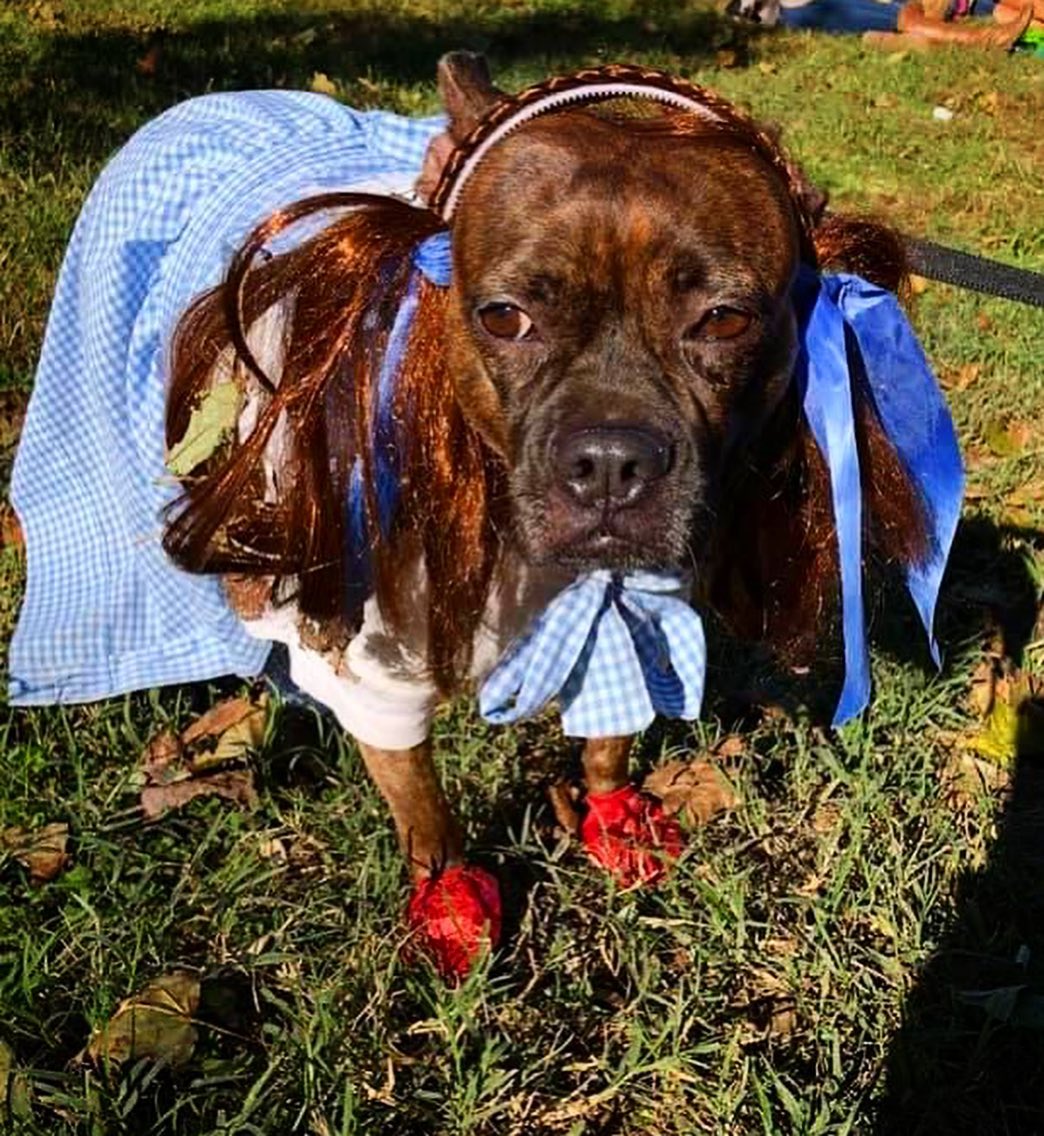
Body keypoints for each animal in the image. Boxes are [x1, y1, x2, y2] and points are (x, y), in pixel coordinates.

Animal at [8, 55, 958, 976]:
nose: (610, 461)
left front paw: (613, 813)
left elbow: (610, 734)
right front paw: (451, 897)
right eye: (505, 317)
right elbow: (423, 808)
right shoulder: (377, 665)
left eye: (724, 321)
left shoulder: (637, 605)